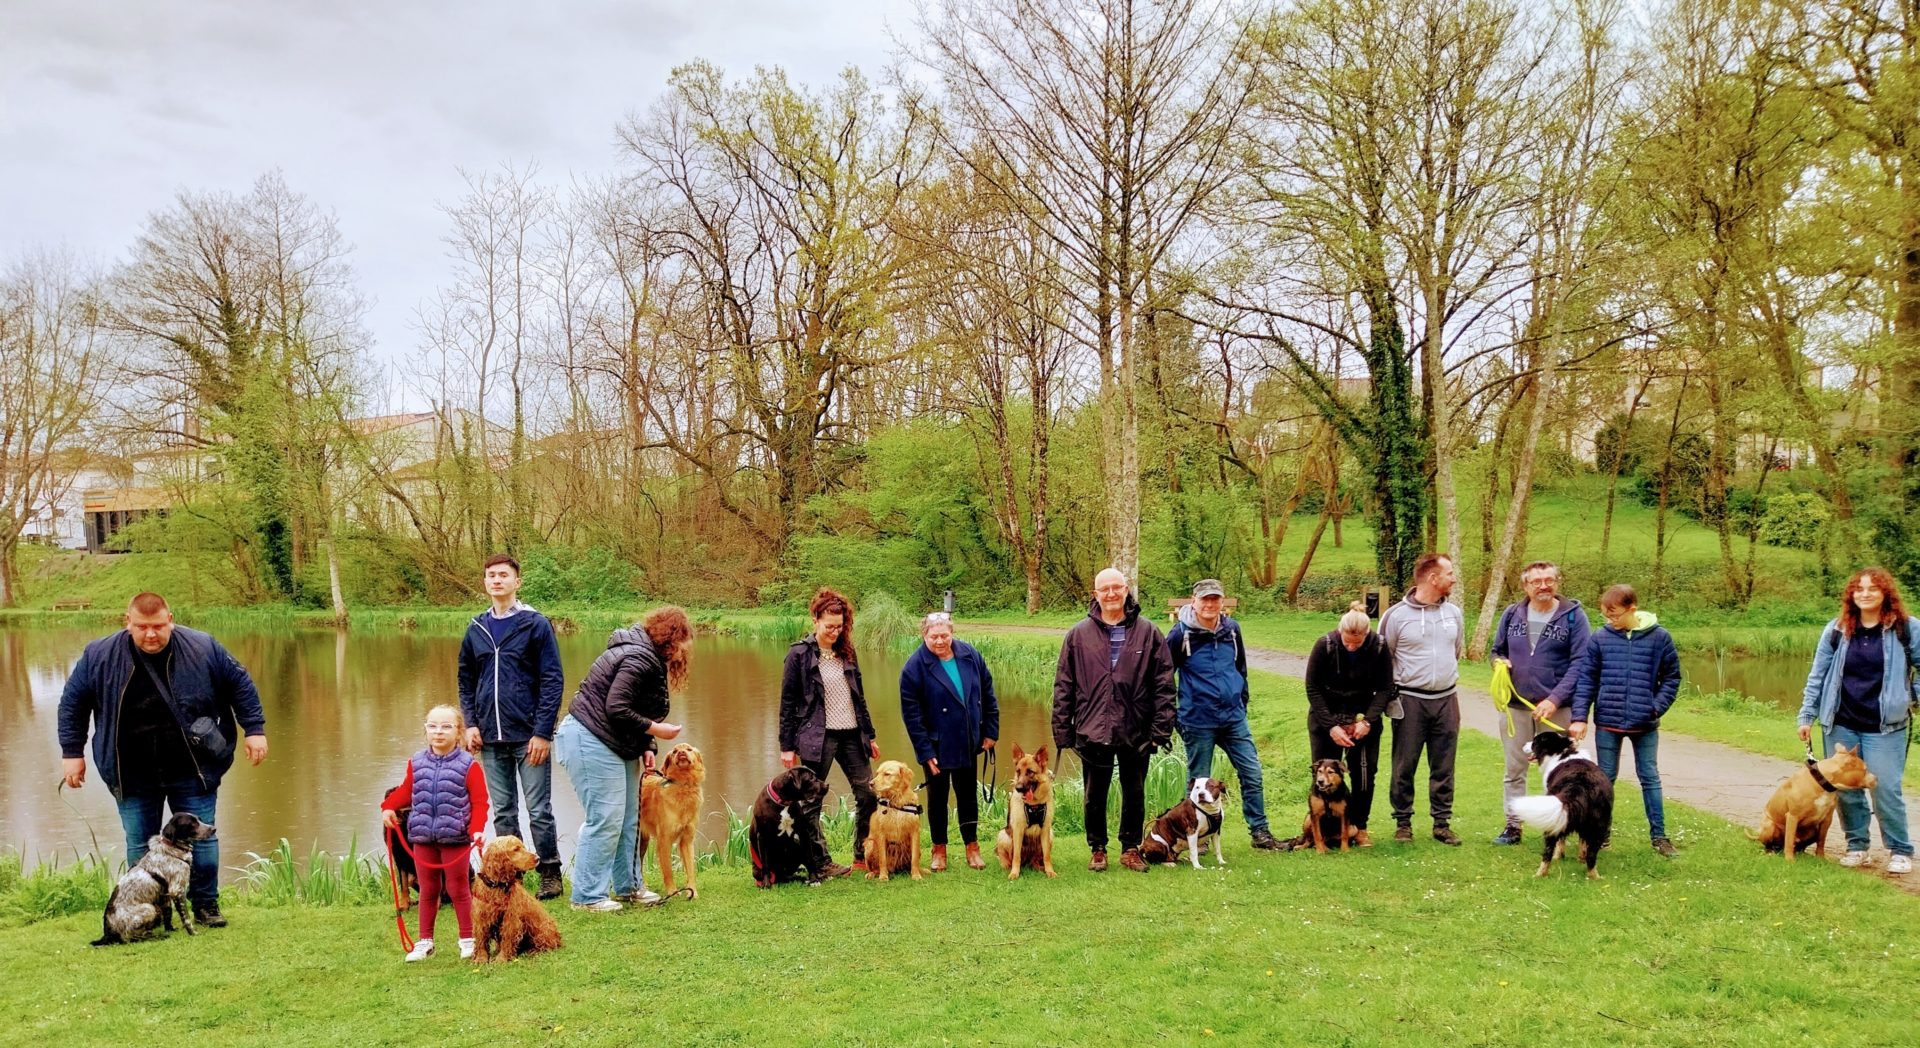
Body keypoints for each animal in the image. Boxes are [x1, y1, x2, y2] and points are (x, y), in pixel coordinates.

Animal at [94, 802, 216, 940]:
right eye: (192, 823)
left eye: (199, 819)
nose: (213, 829)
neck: (172, 849)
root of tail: (108, 934)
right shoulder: (177, 891)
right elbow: (186, 918)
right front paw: (192, 933)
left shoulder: (165, 894)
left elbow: (168, 913)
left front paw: (170, 929)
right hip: (149, 908)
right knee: (132, 937)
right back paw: (156, 936)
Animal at [470, 833, 560, 963]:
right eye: (516, 849)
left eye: (523, 847)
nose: (538, 858)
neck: (498, 886)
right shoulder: (481, 917)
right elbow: (481, 939)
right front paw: (481, 958)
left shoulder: (510, 918)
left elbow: (507, 939)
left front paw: (501, 958)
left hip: (542, 928)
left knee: (547, 945)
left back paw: (533, 951)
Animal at [641, 737, 710, 894]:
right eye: (674, 751)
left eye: (689, 749)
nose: (681, 753)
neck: (684, 785)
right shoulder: (664, 840)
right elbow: (668, 870)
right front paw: (672, 892)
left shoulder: (687, 839)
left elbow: (691, 869)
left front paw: (692, 892)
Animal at [998, 737, 1059, 875]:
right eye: (1018, 771)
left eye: (1030, 772)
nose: (1019, 788)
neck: (1034, 804)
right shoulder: (1018, 830)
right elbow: (1016, 856)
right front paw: (1014, 873)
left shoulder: (1046, 829)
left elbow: (1047, 855)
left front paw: (1050, 871)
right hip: (1003, 835)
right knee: (1008, 858)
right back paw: (1007, 867)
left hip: (1050, 834)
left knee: (1037, 859)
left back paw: (1038, 866)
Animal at [1505, 729, 1612, 875]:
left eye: (1534, 742)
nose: (1523, 744)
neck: (1561, 751)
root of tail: (1579, 786)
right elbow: (1582, 842)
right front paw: (1580, 858)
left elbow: (1561, 841)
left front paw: (1559, 856)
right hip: (1599, 823)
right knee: (1592, 856)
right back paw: (1593, 875)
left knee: (1548, 852)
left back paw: (1540, 874)